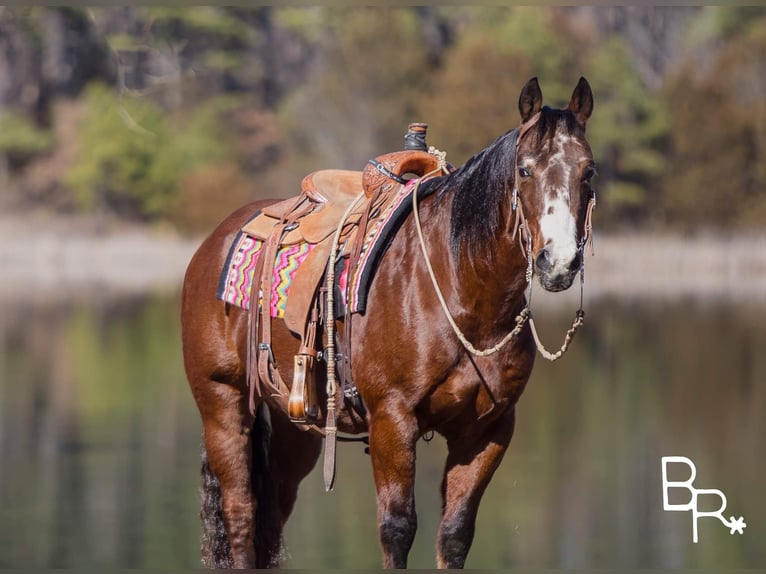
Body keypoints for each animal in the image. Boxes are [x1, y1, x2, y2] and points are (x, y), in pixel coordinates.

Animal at [183, 77, 596, 572]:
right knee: (241, 511)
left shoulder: (489, 429)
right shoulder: (392, 421)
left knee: (272, 515)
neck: (460, 294)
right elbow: (397, 529)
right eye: (525, 170)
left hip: (293, 425)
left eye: (589, 172)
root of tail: (215, 239)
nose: (559, 262)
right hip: (221, 404)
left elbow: (455, 534)